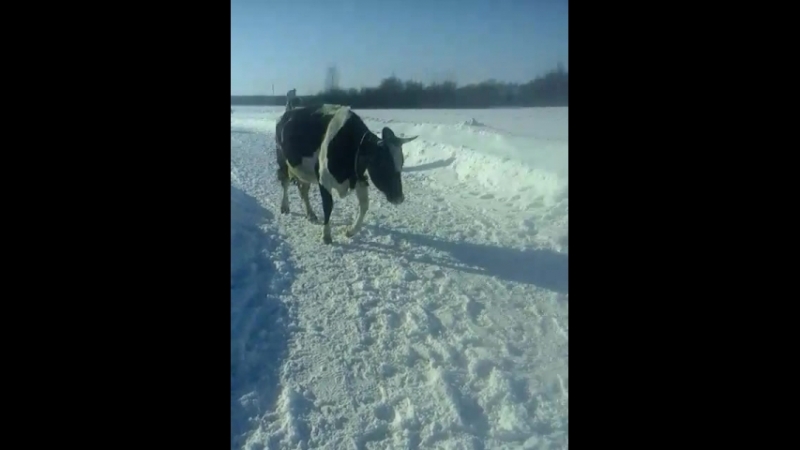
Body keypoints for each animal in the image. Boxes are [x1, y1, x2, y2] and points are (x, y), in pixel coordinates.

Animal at [276, 103, 418, 244]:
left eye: (402, 163)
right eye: (382, 164)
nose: (399, 198)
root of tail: (288, 112)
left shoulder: (359, 178)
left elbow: (364, 206)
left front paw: (351, 231)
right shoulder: (324, 180)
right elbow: (328, 206)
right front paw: (326, 235)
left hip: (304, 172)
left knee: (303, 190)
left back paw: (310, 214)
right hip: (283, 161)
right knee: (285, 183)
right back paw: (285, 207)